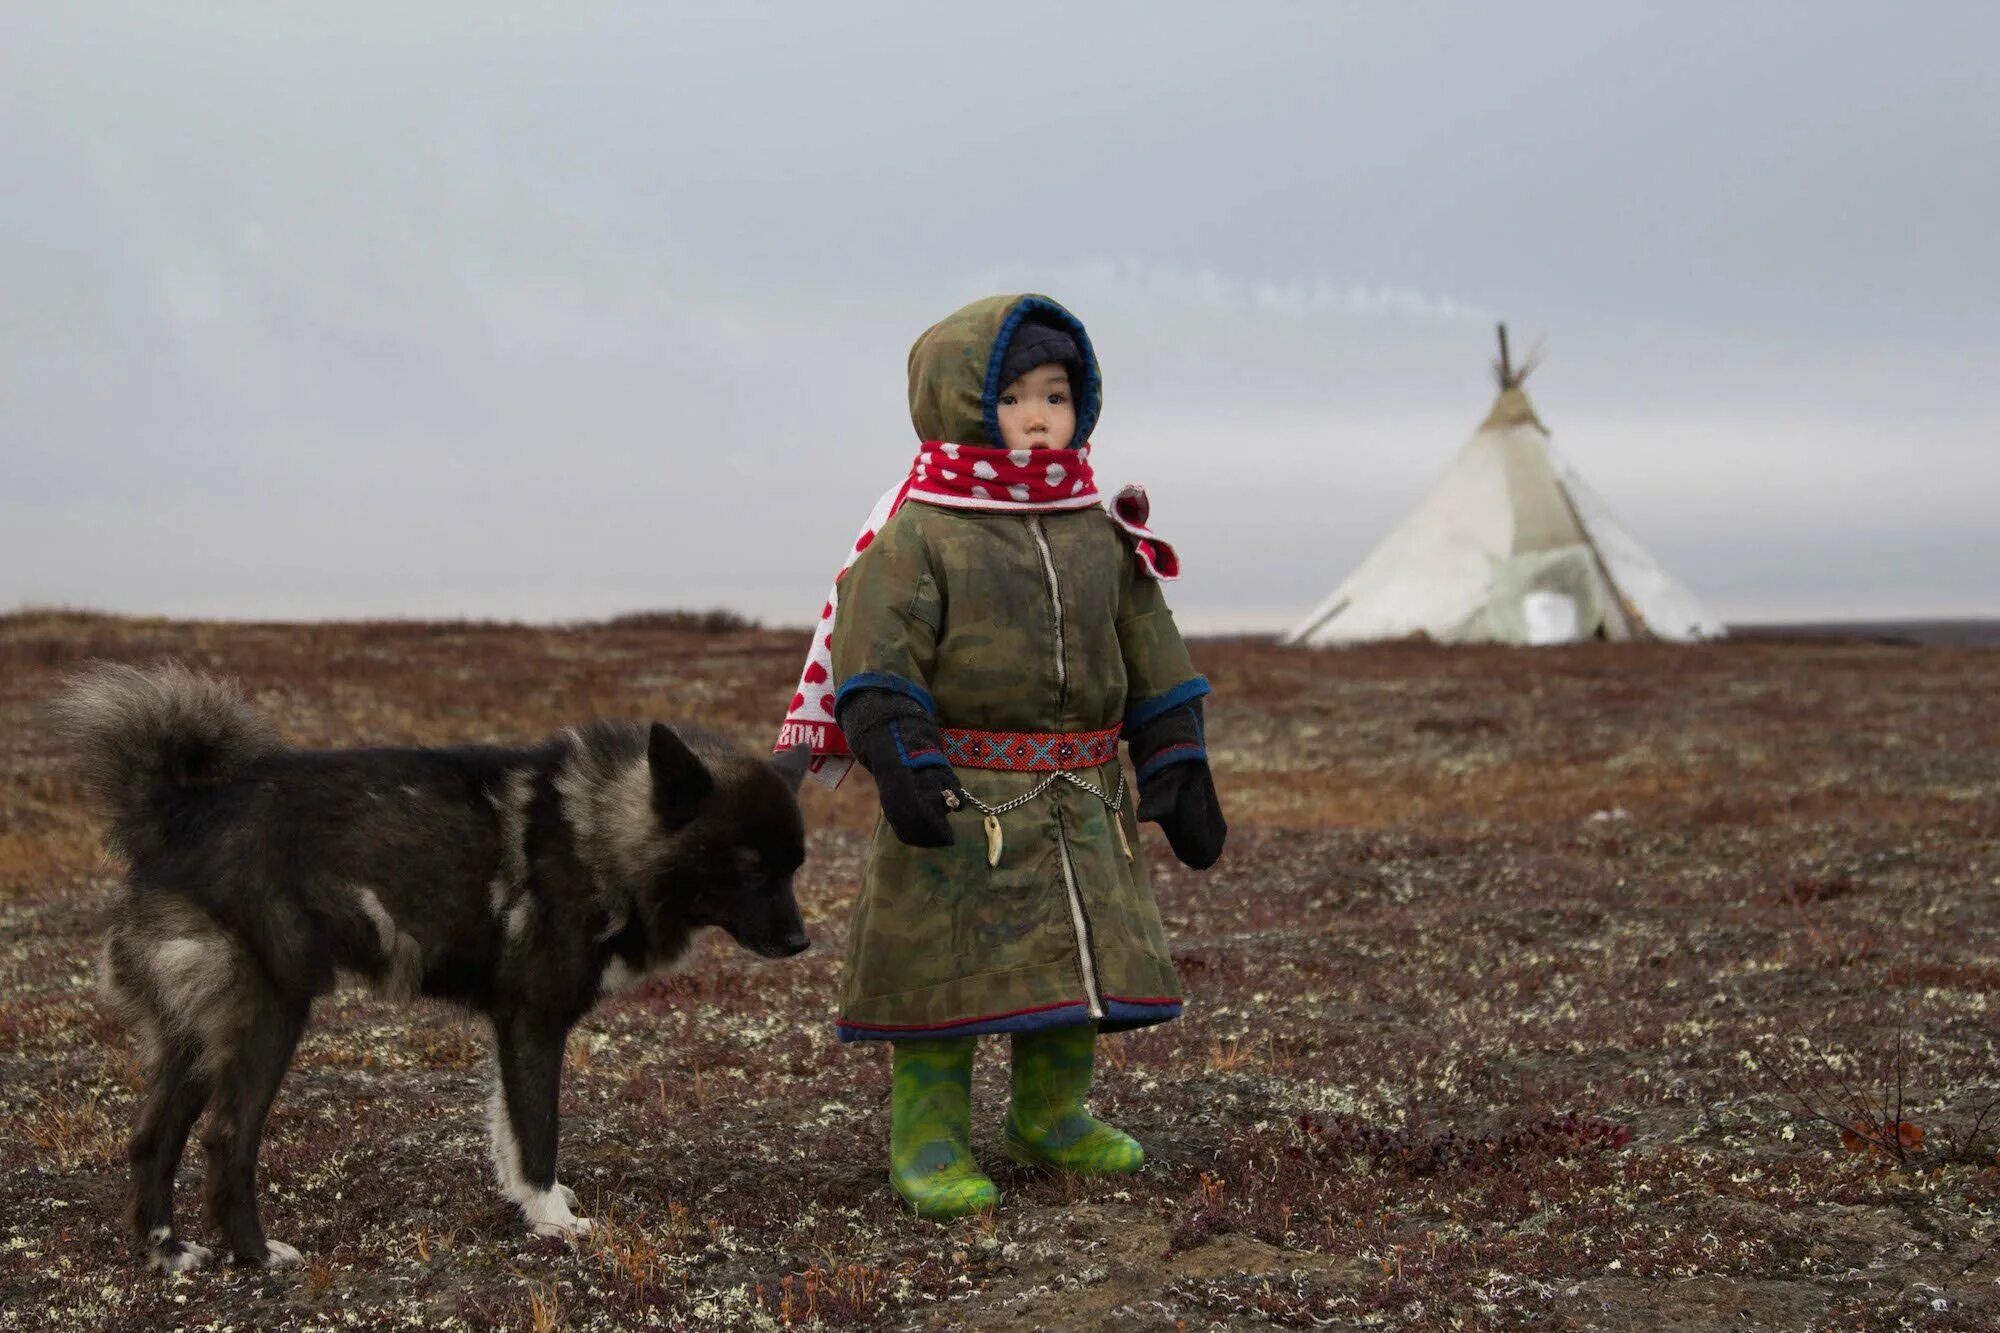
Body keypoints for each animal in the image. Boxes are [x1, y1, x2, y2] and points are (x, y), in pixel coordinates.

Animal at [52, 664, 812, 1264]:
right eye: (750, 868)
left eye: (794, 867)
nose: (803, 943)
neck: (599, 829)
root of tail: (178, 814)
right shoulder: (534, 1022)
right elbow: (538, 1131)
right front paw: (554, 1220)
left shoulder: (513, 1025)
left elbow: (511, 1132)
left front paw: (531, 1204)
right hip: (269, 1017)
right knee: (226, 1139)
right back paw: (256, 1255)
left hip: (194, 1035)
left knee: (152, 1139)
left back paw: (168, 1252)